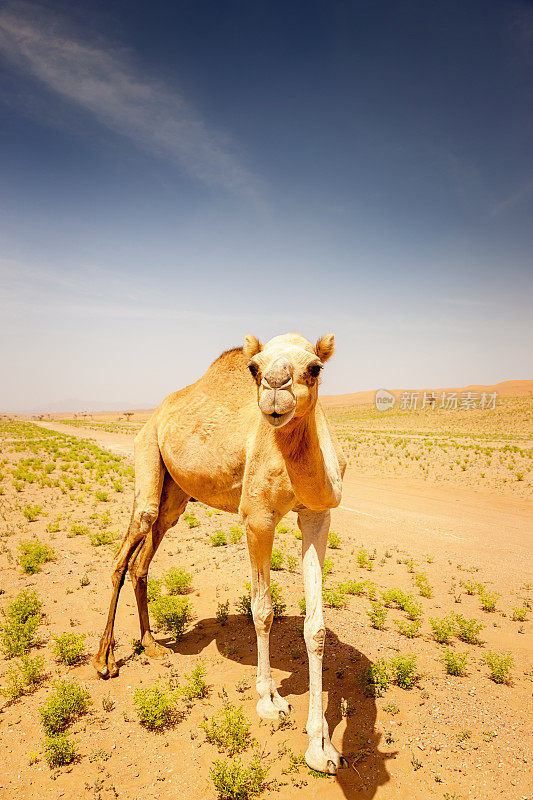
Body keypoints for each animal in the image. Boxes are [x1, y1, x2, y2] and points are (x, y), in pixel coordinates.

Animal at [93, 332, 348, 776]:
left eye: (315, 368)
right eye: (254, 368)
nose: (275, 388)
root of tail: (153, 415)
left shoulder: (317, 515)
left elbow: (316, 628)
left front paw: (322, 748)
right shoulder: (257, 517)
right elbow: (262, 610)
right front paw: (269, 701)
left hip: (176, 495)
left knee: (145, 556)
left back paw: (152, 643)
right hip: (148, 454)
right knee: (127, 550)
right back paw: (105, 660)